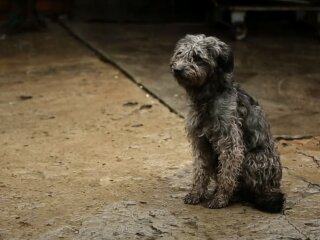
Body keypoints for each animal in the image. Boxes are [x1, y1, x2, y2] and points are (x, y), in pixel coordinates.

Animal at [170, 34, 284, 213]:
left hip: (251, 159)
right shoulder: (201, 143)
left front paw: (220, 199)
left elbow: (227, 175)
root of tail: (274, 186)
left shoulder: (231, 144)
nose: (178, 69)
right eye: (180, 54)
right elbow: (200, 171)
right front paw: (196, 193)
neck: (207, 96)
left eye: (198, 58)